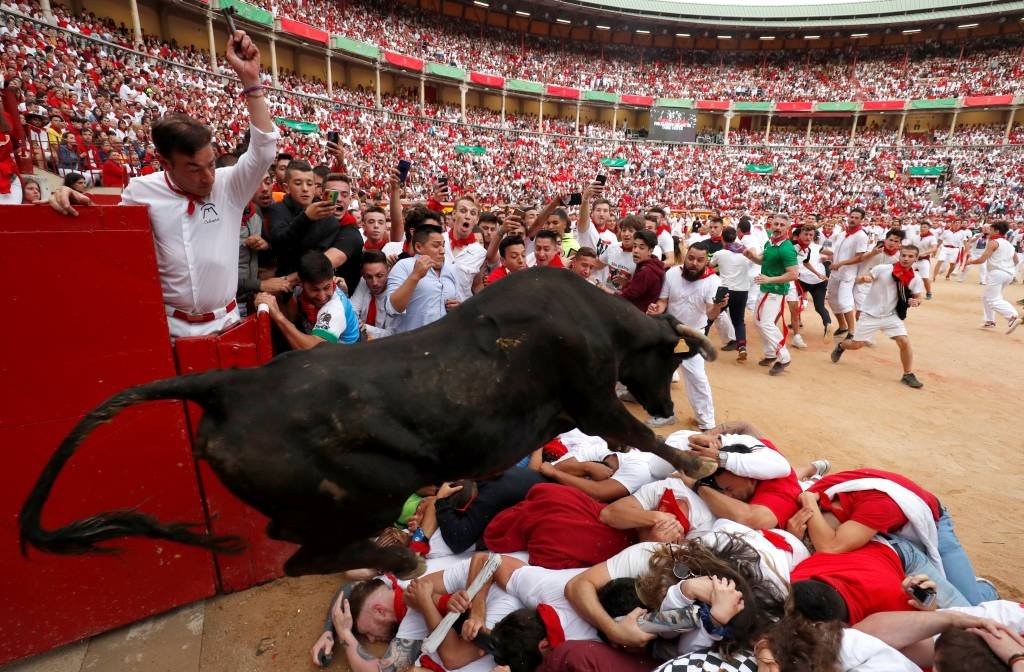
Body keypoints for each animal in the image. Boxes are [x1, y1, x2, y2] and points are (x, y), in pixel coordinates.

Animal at [18, 268, 720, 577]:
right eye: (669, 358)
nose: (665, 403)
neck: (593, 315)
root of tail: (231, 381)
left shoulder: (579, 411)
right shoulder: (595, 398)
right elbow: (639, 437)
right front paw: (698, 459)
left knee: (287, 537)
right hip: (370, 493)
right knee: (300, 556)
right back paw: (396, 557)